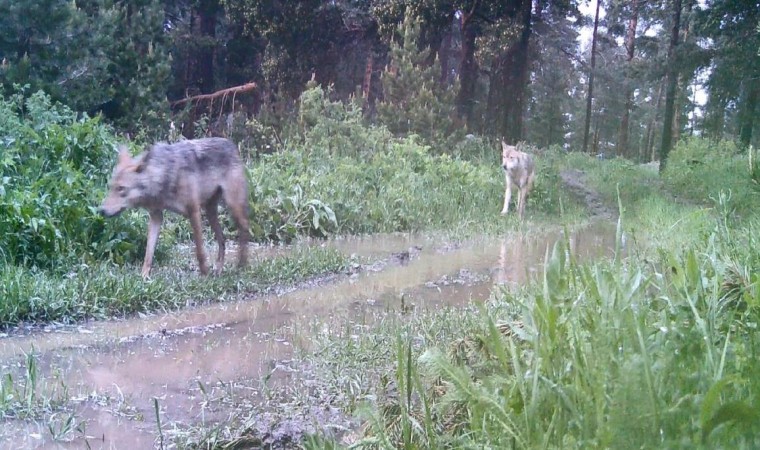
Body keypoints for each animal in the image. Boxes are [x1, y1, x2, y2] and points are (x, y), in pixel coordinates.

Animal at [98, 137, 249, 278]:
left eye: (121, 189)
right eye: (110, 187)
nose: (101, 210)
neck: (163, 176)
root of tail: (230, 144)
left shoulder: (194, 211)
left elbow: (199, 250)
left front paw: (204, 274)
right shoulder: (156, 216)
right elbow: (148, 253)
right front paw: (144, 276)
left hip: (232, 207)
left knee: (244, 228)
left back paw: (241, 265)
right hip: (210, 212)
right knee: (222, 240)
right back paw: (219, 270)